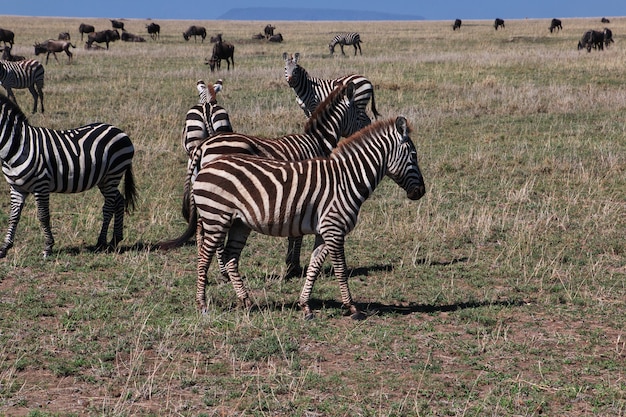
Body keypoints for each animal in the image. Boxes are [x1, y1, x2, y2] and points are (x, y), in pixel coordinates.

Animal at [0, 93, 136, 258]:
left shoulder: (41, 185)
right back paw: (115, 239)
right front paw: (5, 247)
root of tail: (120, 131)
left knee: (109, 206)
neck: (17, 146)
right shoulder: (16, 188)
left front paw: (48, 247)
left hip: (113, 174)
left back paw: (101, 242)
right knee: (119, 201)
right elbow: (13, 216)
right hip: (105, 179)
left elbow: (43, 216)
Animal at [161, 81, 364, 276]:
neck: (316, 141)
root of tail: (203, 146)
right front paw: (293, 266)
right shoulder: (305, 188)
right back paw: (223, 271)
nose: (367, 126)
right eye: (359, 113)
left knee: (201, 226)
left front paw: (291, 264)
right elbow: (297, 233)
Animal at [190, 115, 424, 320]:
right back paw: (201, 305)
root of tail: (206, 161)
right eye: (413, 155)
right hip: (216, 217)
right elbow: (341, 269)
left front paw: (305, 306)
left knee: (231, 257)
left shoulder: (324, 231)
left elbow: (314, 266)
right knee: (204, 258)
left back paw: (245, 301)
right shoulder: (334, 229)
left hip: (239, 223)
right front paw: (352, 307)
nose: (421, 192)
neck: (348, 179)